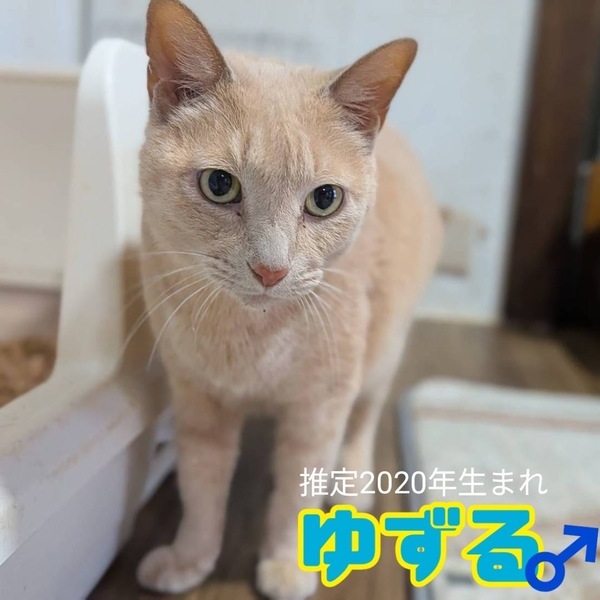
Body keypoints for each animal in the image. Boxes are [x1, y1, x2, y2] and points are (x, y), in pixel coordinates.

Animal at [137, 0, 442, 598]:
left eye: (324, 199)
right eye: (219, 185)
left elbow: (296, 494)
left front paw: (286, 565)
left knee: (365, 419)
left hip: (381, 352)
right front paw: (190, 558)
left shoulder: (320, 407)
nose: (270, 269)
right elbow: (201, 489)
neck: (248, 341)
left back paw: (351, 485)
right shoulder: (196, 401)